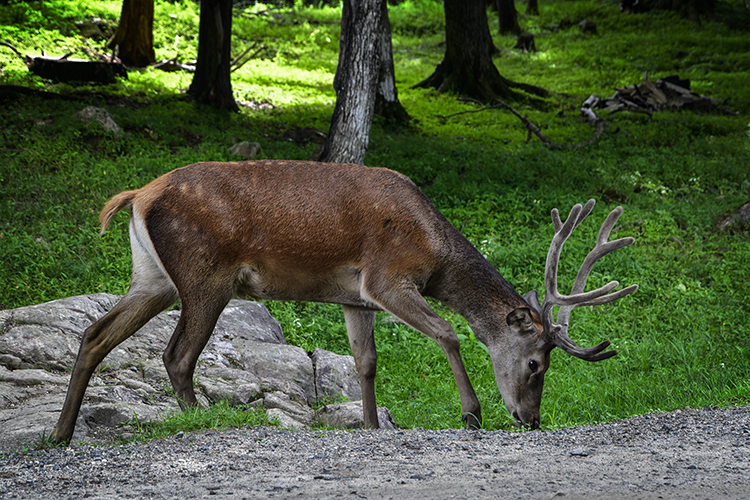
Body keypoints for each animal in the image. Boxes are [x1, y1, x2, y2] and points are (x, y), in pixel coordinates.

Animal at [50, 161, 636, 446]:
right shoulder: (387, 277)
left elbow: (365, 362)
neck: (435, 251)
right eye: (536, 363)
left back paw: (59, 435)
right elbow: (447, 331)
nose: (530, 420)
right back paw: (203, 421)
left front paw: (373, 426)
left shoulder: (356, 299)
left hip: (152, 278)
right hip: (205, 275)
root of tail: (137, 195)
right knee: (177, 355)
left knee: (94, 334)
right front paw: (472, 413)